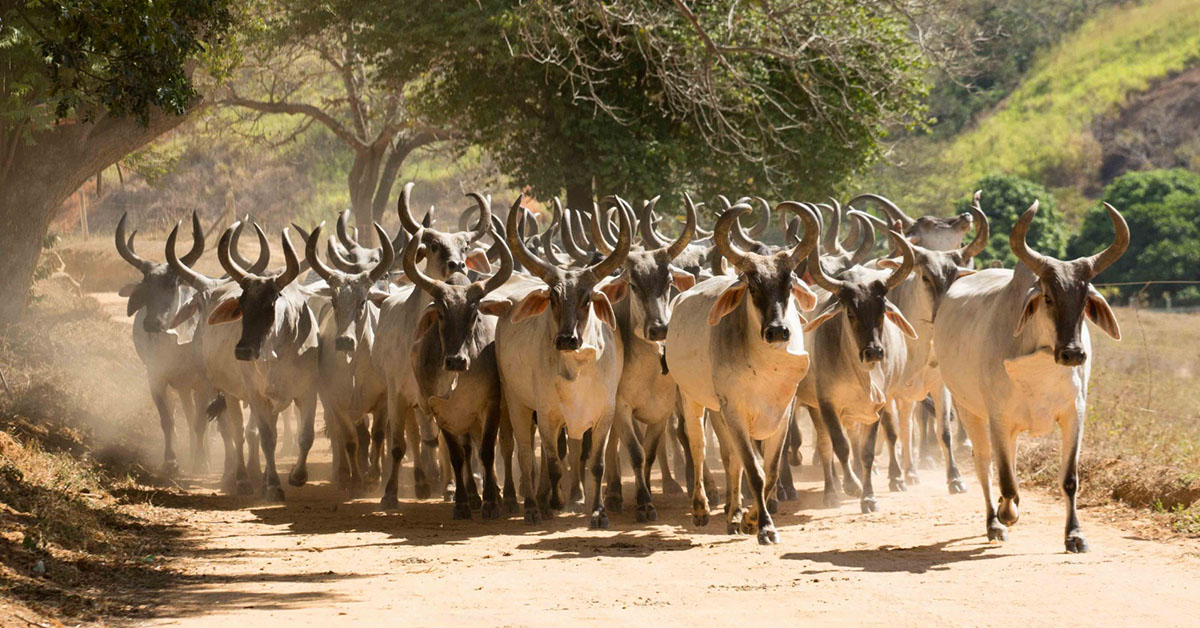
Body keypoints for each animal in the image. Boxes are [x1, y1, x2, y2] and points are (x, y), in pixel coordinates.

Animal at [489, 195, 633, 525]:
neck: (577, 369)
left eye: (587, 298)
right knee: (525, 453)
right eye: (553, 297)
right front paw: (553, 502)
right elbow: (553, 464)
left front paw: (598, 513)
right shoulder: (547, 414)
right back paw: (534, 505)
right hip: (516, 402)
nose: (567, 339)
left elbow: (595, 464)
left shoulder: (604, 414)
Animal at [667, 202, 825, 545]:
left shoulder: (784, 410)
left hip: (719, 412)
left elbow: (771, 469)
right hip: (693, 399)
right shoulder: (735, 410)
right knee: (699, 447)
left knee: (730, 460)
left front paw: (752, 519)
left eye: (789, 285)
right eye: (752, 286)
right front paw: (764, 526)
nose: (778, 331)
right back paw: (701, 509)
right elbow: (754, 469)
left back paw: (734, 515)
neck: (765, 365)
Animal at [936, 202, 1123, 554]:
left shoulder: (1074, 414)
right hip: (969, 410)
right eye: (1048, 298)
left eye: (1084, 302)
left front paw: (1074, 535)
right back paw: (994, 522)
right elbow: (1006, 481)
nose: (1073, 354)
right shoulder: (998, 417)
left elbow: (1069, 479)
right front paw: (1007, 513)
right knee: (985, 464)